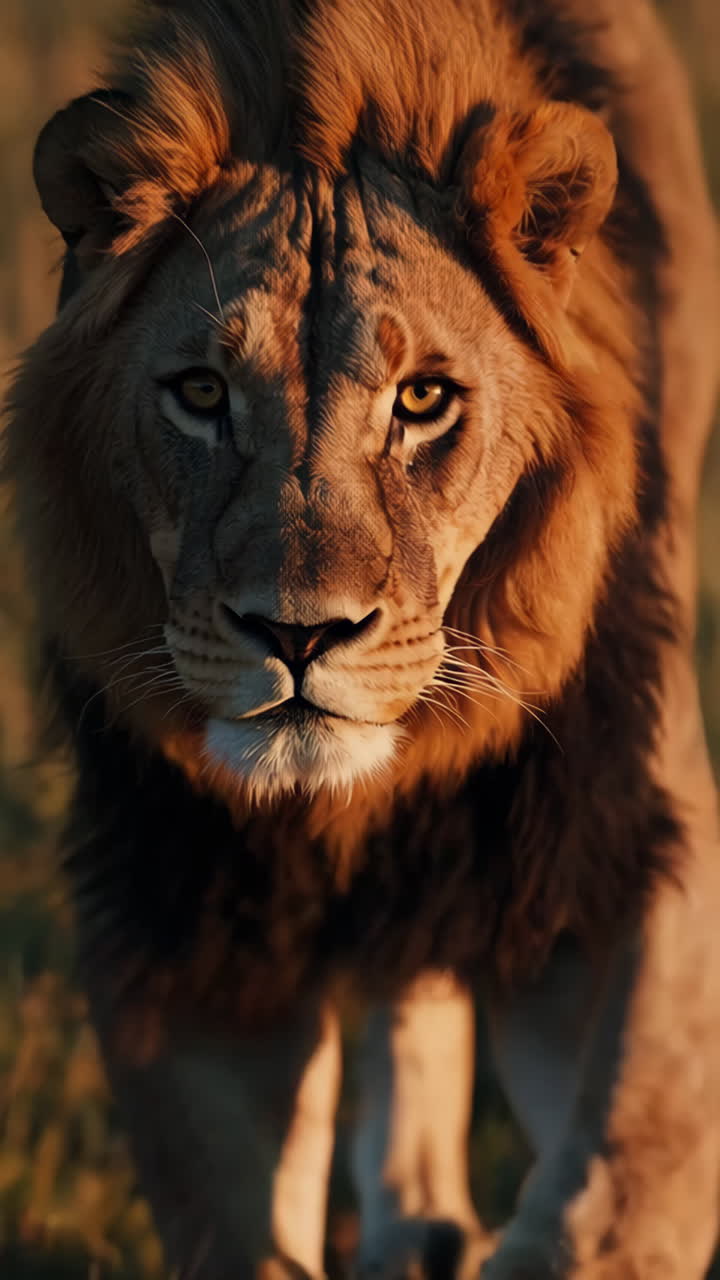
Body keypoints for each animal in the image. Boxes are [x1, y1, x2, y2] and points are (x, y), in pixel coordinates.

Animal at [4, 0, 720, 1275]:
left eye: (424, 399)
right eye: (200, 392)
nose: (299, 633)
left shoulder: (627, 838)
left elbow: (609, 1200)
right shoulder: (187, 922)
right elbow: (239, 1225)